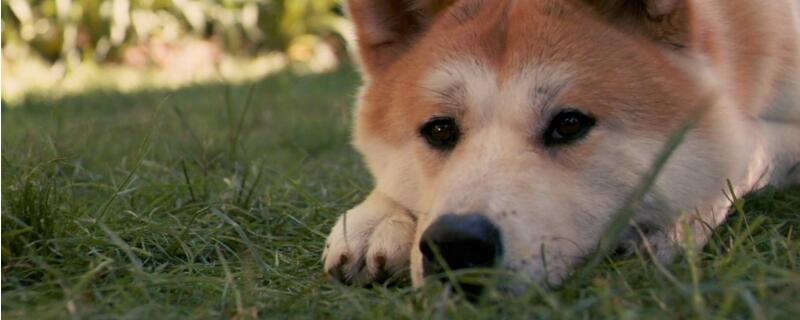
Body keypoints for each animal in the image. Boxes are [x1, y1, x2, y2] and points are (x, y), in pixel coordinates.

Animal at [320, 0, 800, 294]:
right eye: (439, 130)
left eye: (569, 124)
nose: (457, 244)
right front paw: (378, 217)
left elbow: (746, 148)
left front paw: (674, 223)